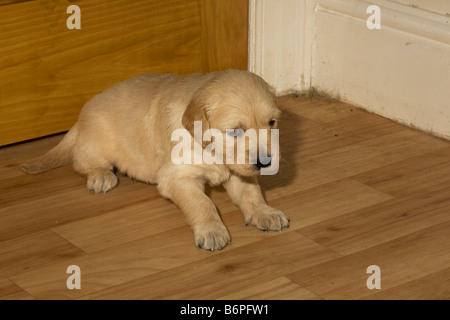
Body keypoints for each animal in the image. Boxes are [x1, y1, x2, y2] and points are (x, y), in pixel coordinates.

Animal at [22, 69, 288, 250]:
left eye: (271, 123)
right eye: (235, 131)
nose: (265, 162)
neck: (209, 150)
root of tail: (79, 119)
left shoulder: (239, 171)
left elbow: (252, 194)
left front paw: (265, 212)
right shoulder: (176, 177)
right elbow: (203, 203)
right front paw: (212, 230)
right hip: (97, 144)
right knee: (82, 163)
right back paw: (101, 176)